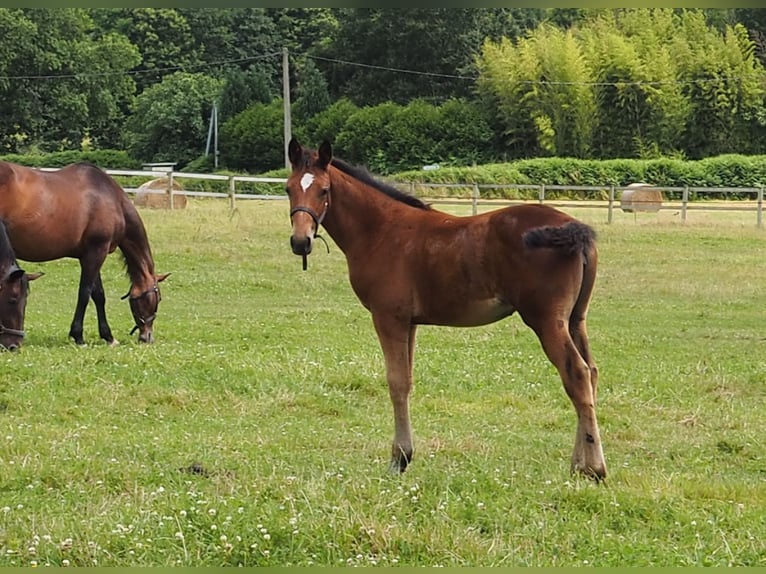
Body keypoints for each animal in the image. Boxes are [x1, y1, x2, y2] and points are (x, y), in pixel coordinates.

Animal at [0, 160, 170, 344]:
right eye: (159, 298)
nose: (147, 337)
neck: (112, 199)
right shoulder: (97, 251)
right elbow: (85, 293)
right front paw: (78, 336)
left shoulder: (89, 254)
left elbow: (99, 295)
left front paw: (108, 337)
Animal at [284, 140, 608, 482]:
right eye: (288, 188)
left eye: (324, 190)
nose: (300, 242)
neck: (381, 230)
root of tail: (575, 228)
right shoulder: (409, 322)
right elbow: (407, 380)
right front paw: (405, 455)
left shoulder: (388, 317)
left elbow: (396, 382)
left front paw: (399, 459)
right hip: (575, 319)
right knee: (591, 371)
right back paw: (579, 465)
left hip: (547, 320)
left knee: (576, 374)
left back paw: (596, 468)